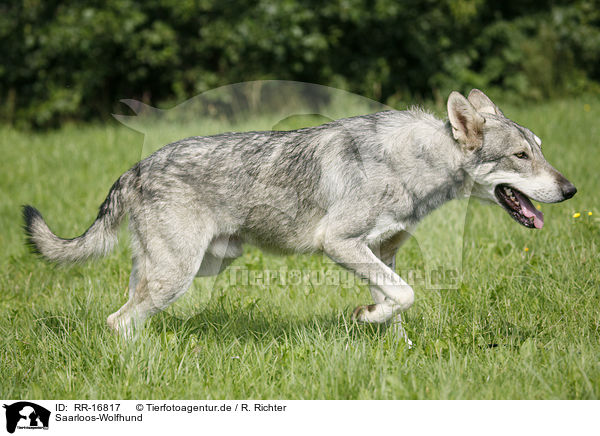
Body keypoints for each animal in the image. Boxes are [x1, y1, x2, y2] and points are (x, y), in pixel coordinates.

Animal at [23, 89, 576, 344]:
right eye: (521, 156)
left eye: (541, 149)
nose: (571, 189)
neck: (414, 165)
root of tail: (134, 168)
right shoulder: (341, 243)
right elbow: (405, 294)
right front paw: (368, 317)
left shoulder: (380, 251)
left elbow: (396, 301)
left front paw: (392, 340)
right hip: (178, 276)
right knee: (117, 321)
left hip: (191, 269)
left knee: (125, 313)